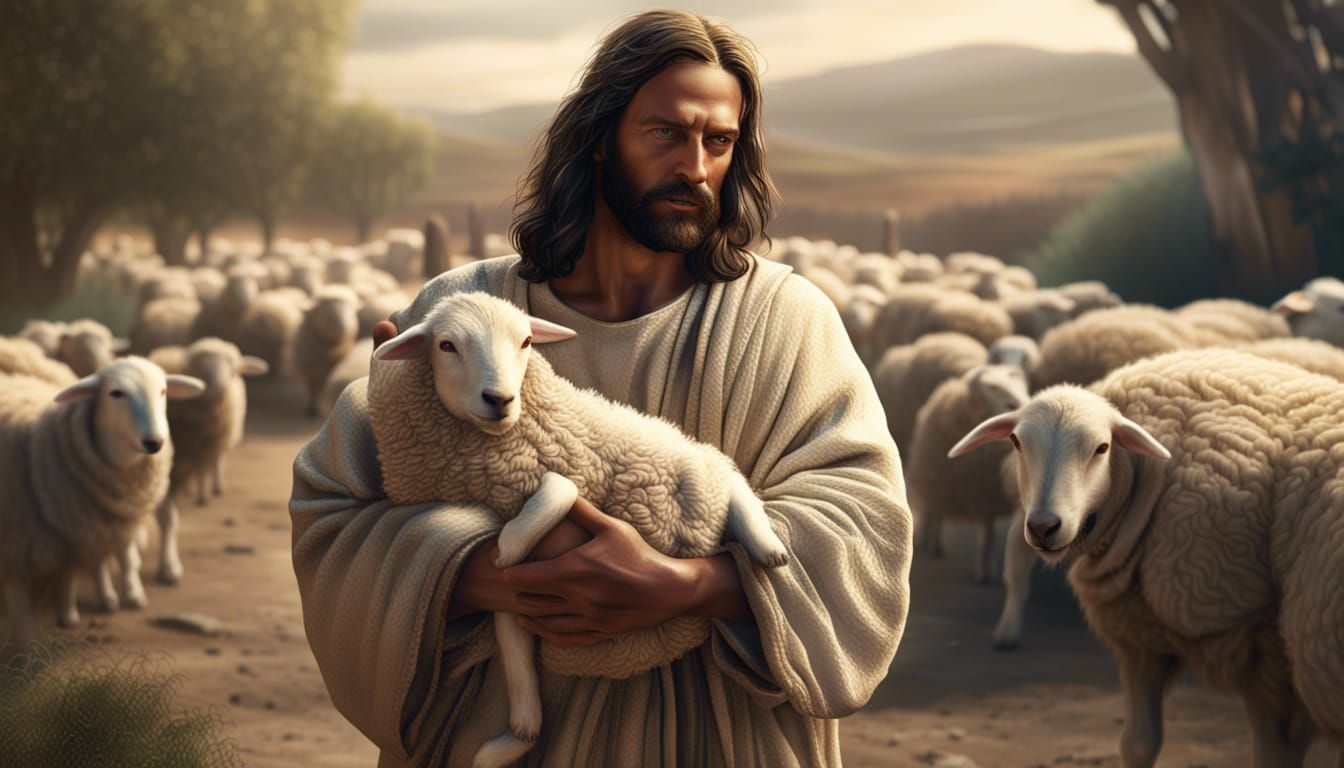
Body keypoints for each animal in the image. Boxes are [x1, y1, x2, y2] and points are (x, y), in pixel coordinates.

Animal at [0, 359, 204, 649]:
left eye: (163, 391)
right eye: (115, 393)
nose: (155, 442)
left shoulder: (103, 518)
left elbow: (112, 558)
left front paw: (122, 596)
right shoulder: (19, 539)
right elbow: (19, 598)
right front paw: (26, 645)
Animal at [292, 285, 360, 417]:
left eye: (352, 313)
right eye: (327, 317)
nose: (346, 328)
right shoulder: (309, 372)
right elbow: (312, 391)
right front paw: (311, 409)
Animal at [368, 291, 788, 768]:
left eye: (527, 341)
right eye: (446, 346)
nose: (501, 399)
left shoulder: (572, 477)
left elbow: (556, 493)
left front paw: (509, 548)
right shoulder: (509, 598)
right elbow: (515, 653)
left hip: (702, 468)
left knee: (737, 482)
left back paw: (767, 546)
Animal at [906, 364, 1028, 574]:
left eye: (1020, 386)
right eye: (993, 388)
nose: (1020, 405)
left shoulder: (987, 496)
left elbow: (987, 538)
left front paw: (983, 571)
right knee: (933, 513)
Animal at [949, 348, 1344, 765]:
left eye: (1102, 447)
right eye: (1016, 441)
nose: (1043, 526)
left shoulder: (1261, 650)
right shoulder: (1143, 634)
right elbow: (1138, 743)